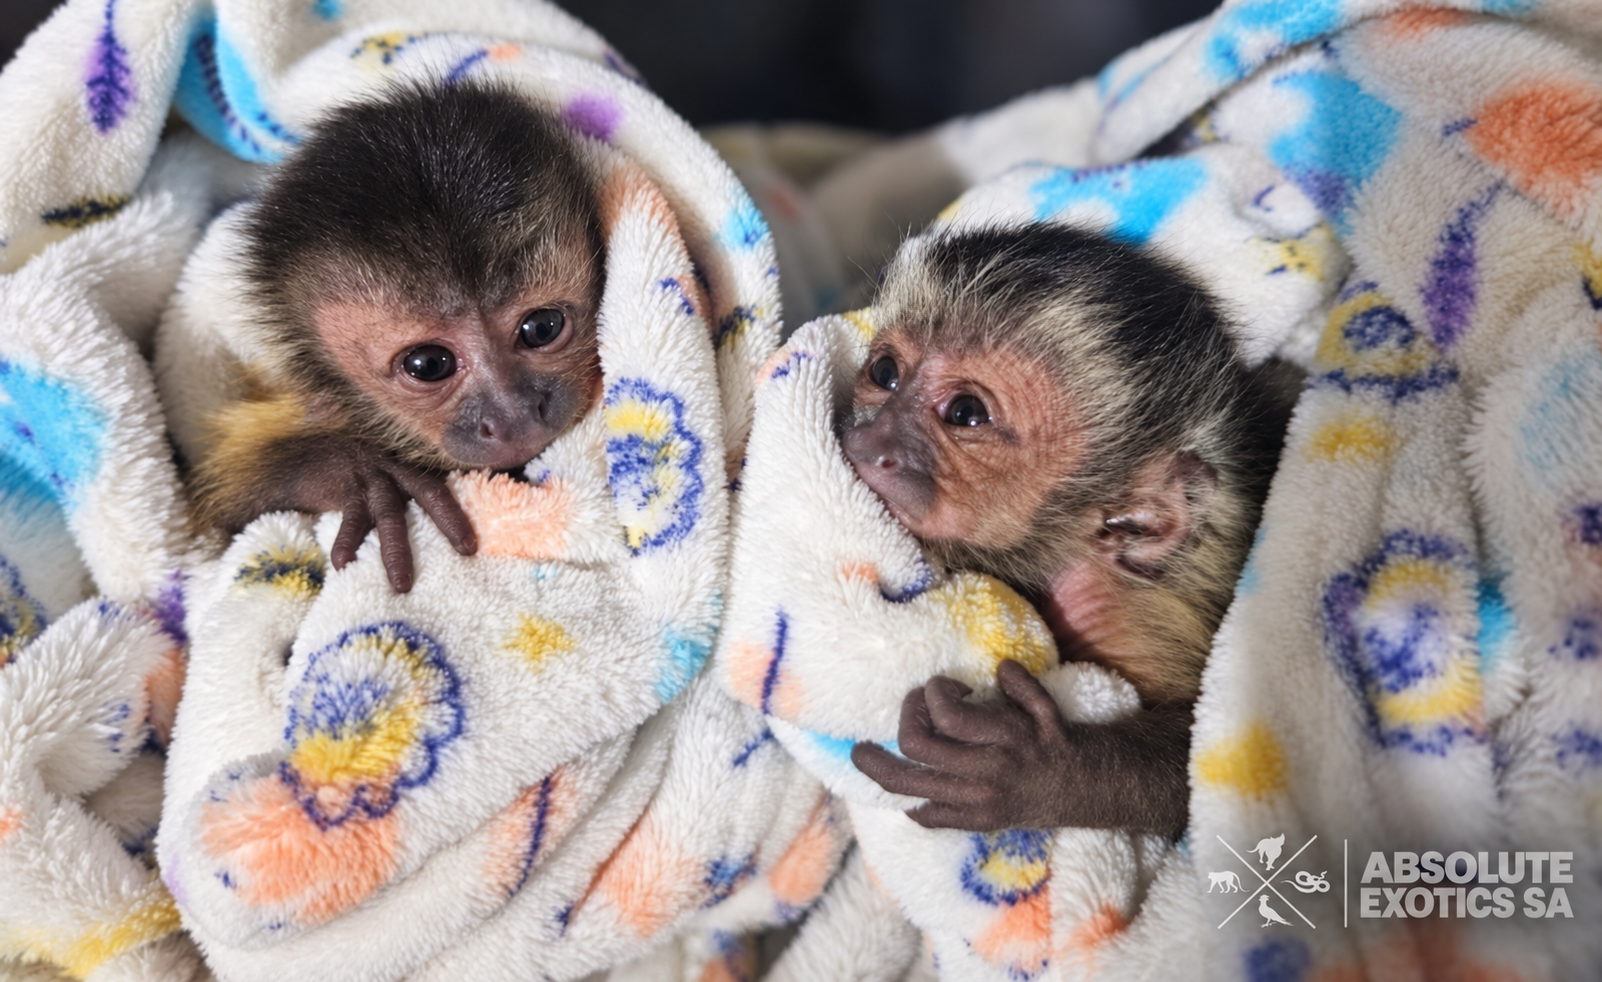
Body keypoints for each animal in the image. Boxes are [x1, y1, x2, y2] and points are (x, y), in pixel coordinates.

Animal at [845, 223, 1299, 836]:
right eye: (884, 374)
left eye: (966, 412)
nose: (871, 443)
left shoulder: (1125, 616)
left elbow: (1214, 774)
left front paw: (1038, 773)